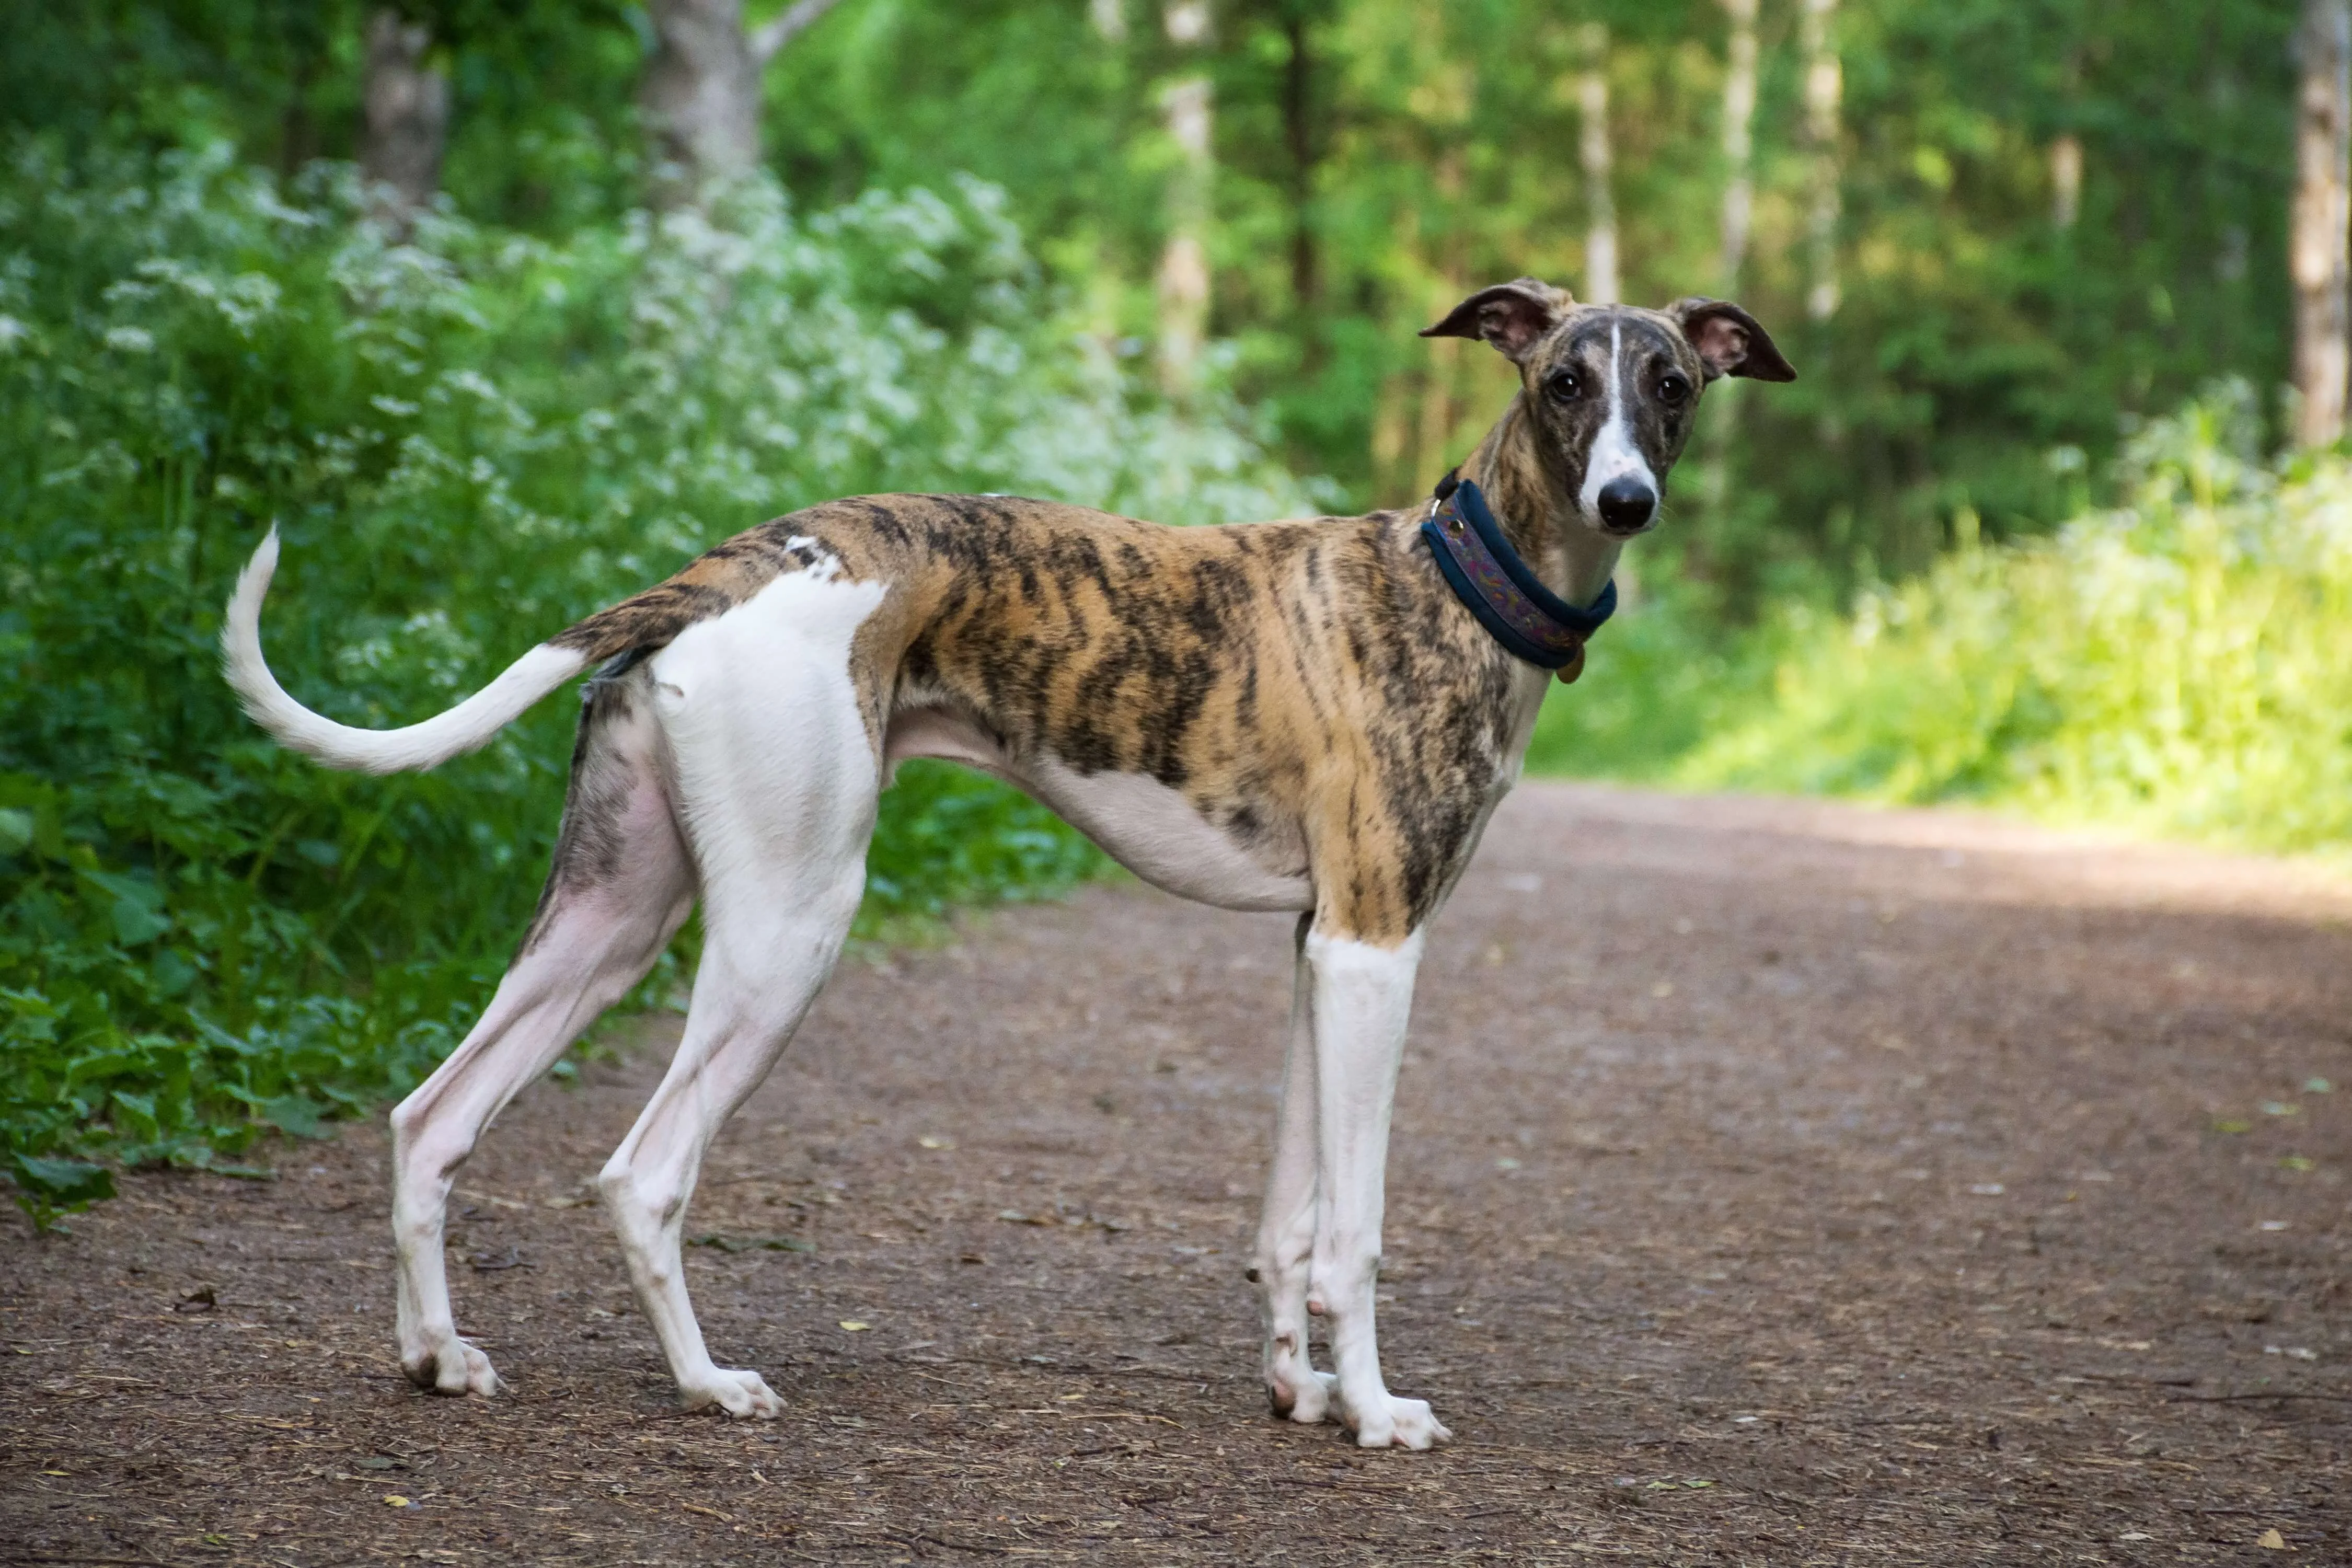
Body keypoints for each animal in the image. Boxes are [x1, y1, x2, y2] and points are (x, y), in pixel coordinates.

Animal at [224, 278, 1797, 1448]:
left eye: (1668, 384)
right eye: (1561, 384)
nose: (1625, 500)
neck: (1456, 582)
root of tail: (731, 567)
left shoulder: (1315, 949)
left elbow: (1287, 1216)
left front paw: (1292, 1388)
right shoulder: (1374, 948)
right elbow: (1352, 1225)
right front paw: (1371, 1409)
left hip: (607, 919)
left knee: (429, 1118)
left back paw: (439, 1356)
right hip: (789, 926)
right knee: (640, 1171)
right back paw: (707, 1382)